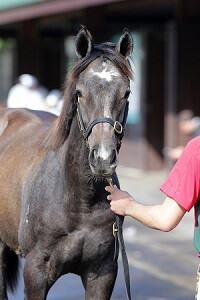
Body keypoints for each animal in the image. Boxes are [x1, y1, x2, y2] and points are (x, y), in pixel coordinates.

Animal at [0, 27, 133, 298]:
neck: (78, 201)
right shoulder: (36, 273)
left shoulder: (102, 274)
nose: (103, 159)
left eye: (126, 93)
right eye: (79, 93)